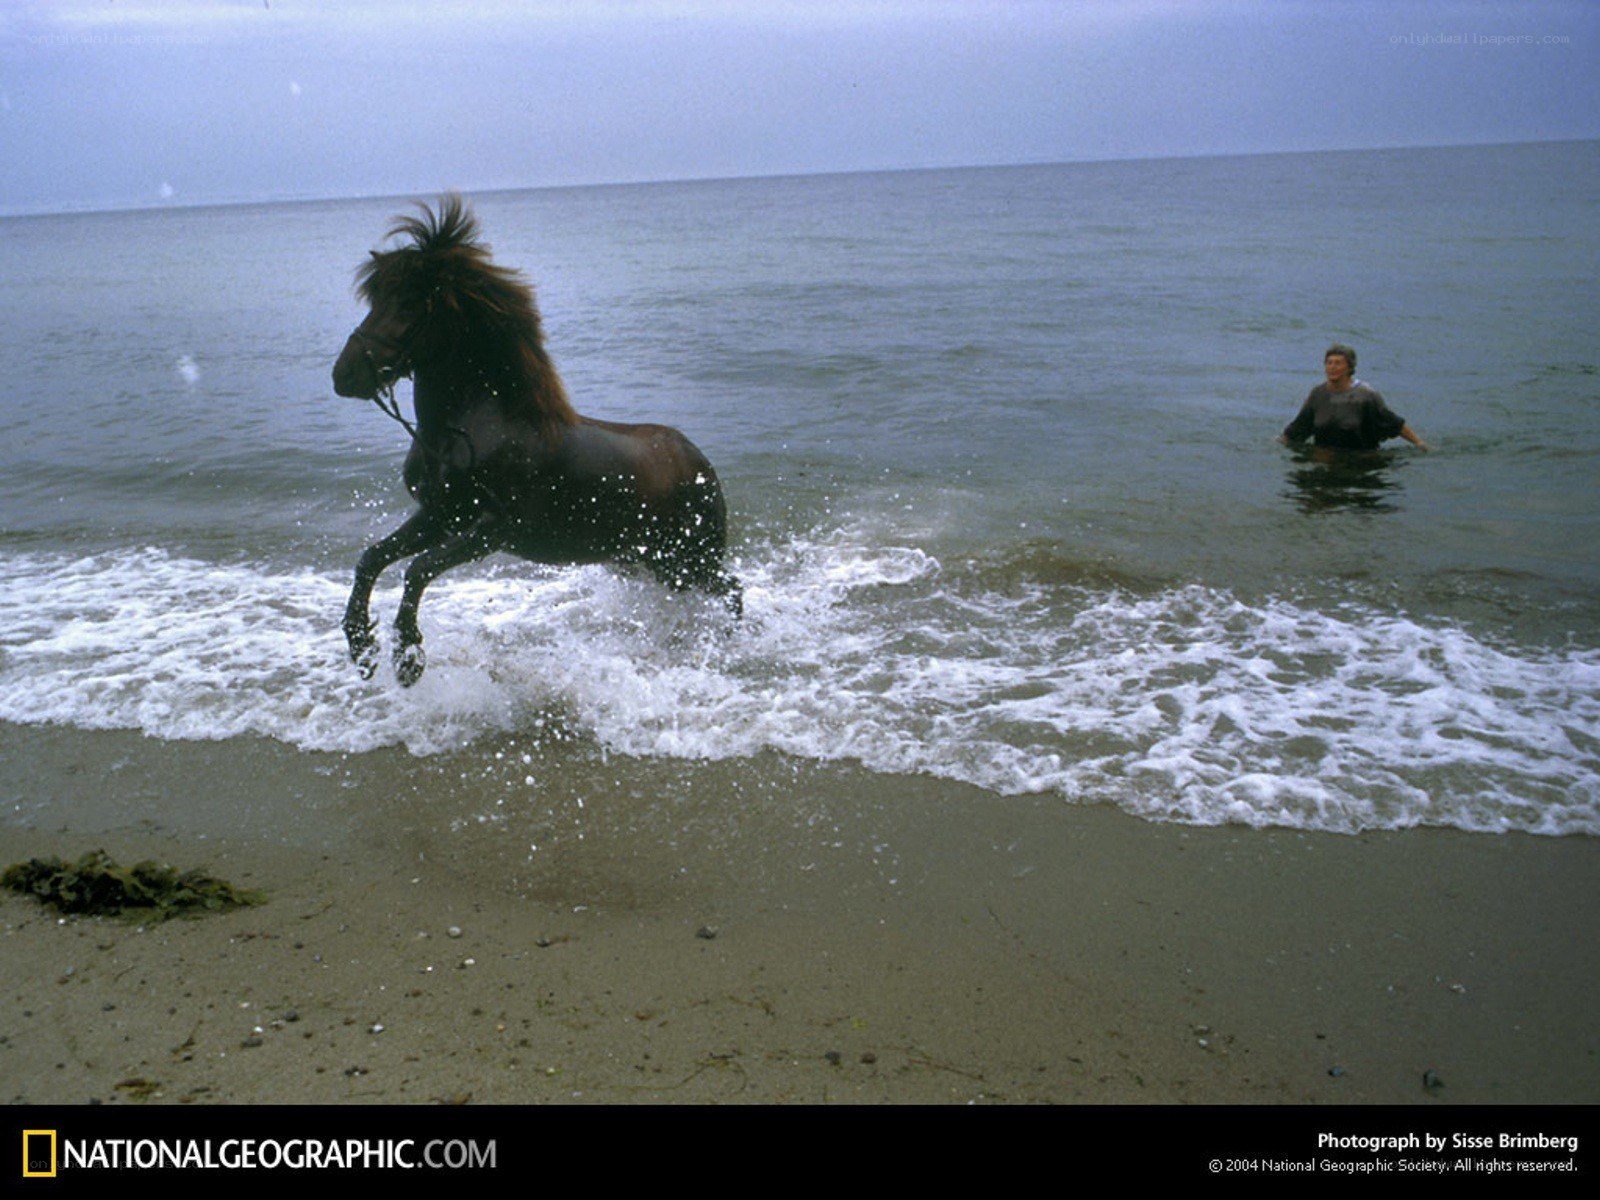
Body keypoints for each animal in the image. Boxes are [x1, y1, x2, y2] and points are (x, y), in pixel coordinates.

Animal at [332, 194, 741, 686]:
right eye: (375, 299)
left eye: (411, 303)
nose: (343, 375)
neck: (468, 428)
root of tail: (700, 462)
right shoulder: (440, 516)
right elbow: (372, 559)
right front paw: (361, 645)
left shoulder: (491, 528)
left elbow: (417, 569)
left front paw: (408, 657)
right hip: (653, 560)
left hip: (689, 558)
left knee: (732, 590)